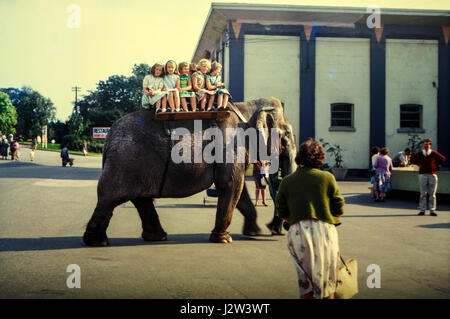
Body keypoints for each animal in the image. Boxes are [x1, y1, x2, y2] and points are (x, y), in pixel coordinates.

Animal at [82, 97, 298, 248]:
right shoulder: (231, 147)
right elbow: (231, 184)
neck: (248, 106)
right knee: (109, 199)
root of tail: (108, 138)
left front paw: (253, 232)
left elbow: (239, 188)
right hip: (125, 163)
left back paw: (157, 237)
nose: (276, 229)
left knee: (140, 200)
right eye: (287, 134)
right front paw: (224, 240)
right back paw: (98, 243)